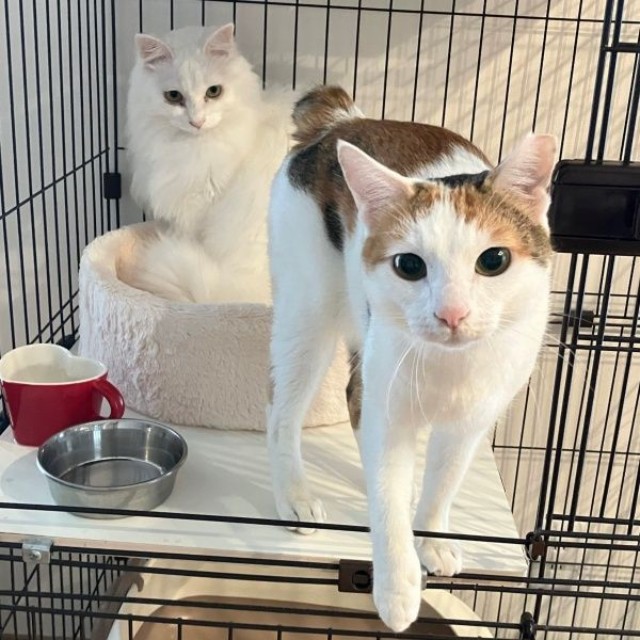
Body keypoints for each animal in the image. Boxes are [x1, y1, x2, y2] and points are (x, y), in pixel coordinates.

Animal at [267, 86, 556, 632]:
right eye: (409, 265)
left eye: (494, 260)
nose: (452, 313)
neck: (451, 366)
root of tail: (340, 120)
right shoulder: (391, 407)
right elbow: (388, 497)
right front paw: (397, 590)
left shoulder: (471, 421)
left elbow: (444, 481)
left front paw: (433, 538)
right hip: (308, 311)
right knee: (282, 412)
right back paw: (293, 495)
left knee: (352, 397)